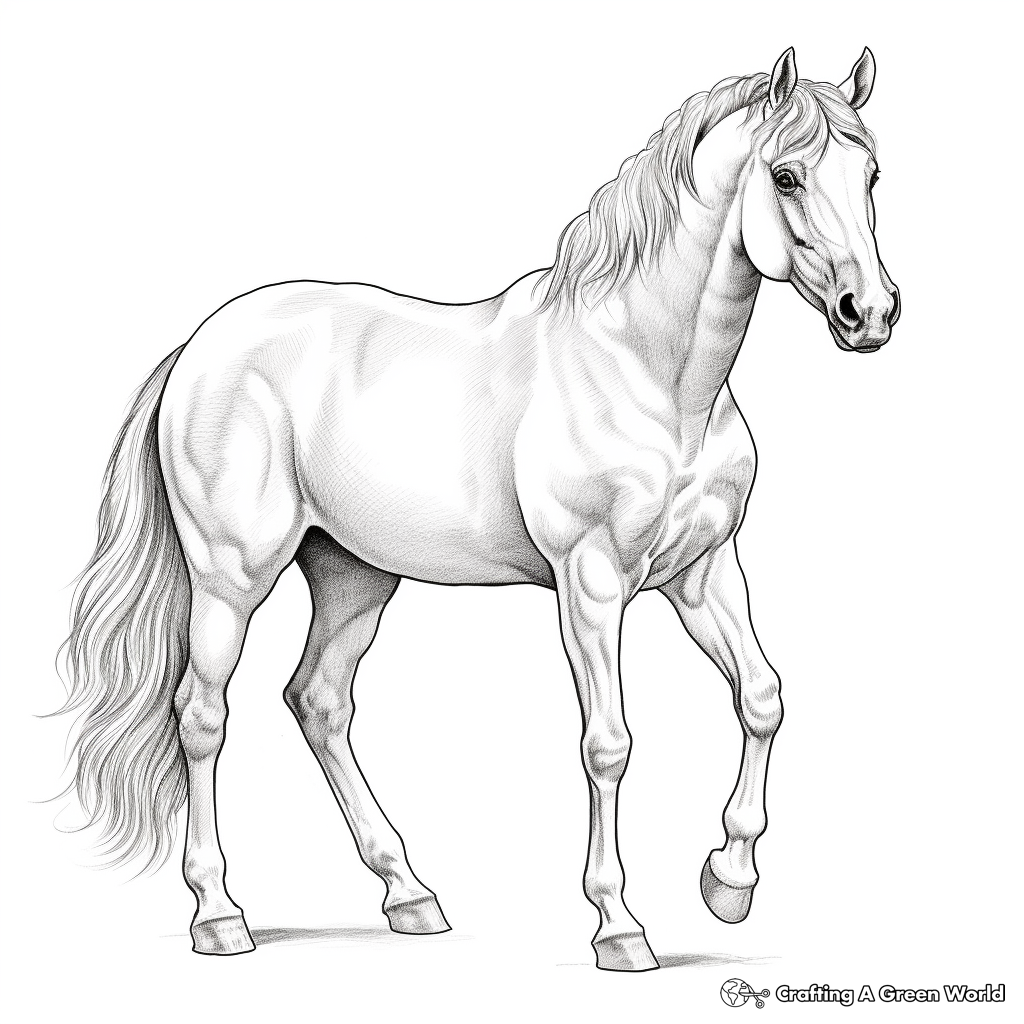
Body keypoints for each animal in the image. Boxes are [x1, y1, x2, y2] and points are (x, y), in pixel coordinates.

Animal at [59, 47, 899, 971]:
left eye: (871, 173)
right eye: (787, 175)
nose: (871, 314)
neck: (645, 370)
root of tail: (199, 350)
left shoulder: (704, 573)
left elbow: (762, 696)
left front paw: (729, 881)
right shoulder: (591, 583)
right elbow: (608, 744)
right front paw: (619, 926)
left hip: (353, 575)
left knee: (319, 701)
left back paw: (410, 895)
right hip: (230, 579)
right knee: (202, 716)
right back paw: (219, 915)